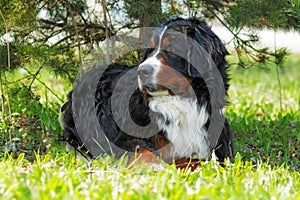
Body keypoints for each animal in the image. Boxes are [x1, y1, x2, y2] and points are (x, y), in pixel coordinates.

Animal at [61, 17, 234, 169]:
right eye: (150, 50)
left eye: (172, 50)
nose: (142, 71)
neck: (180, 103)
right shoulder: (125, 139)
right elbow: (143, 151)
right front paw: (155, 166)